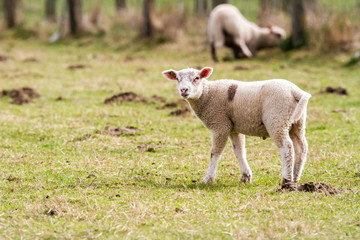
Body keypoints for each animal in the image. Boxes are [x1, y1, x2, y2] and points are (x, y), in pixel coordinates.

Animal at [162, 66, 310, 187]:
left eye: (196, 78)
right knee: (301, 147)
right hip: (297, 122)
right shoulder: (233, 128)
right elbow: (239, 151)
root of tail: (295, 91)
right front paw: (246, 177)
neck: (207, 94)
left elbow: (215, 153)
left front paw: (208, 179)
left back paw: (286, 179)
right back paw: (295, 177)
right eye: (177, 78)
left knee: (286, 147)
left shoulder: (220, 125)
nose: (184, 90)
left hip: (277, 119)